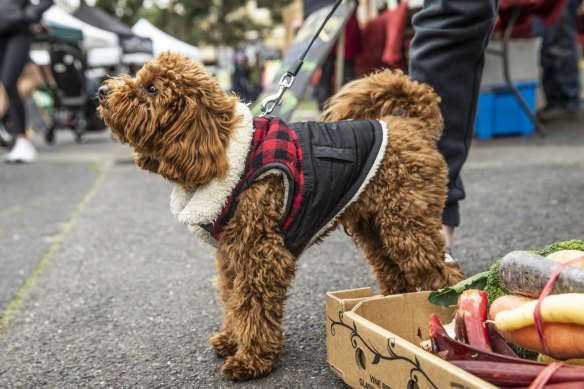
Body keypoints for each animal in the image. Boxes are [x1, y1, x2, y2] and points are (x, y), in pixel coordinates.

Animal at [99, 50, 466, 378]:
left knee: (442, 272)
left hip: (407, 222)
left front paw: (251, 360)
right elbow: (232, 298)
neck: (223, 149)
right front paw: (231, 340)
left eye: (151, 88)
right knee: (393, 269)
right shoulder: (230, 254)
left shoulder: (261, 252)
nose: (102, 91)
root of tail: (414, 125)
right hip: (375, 224)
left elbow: (252, 303)